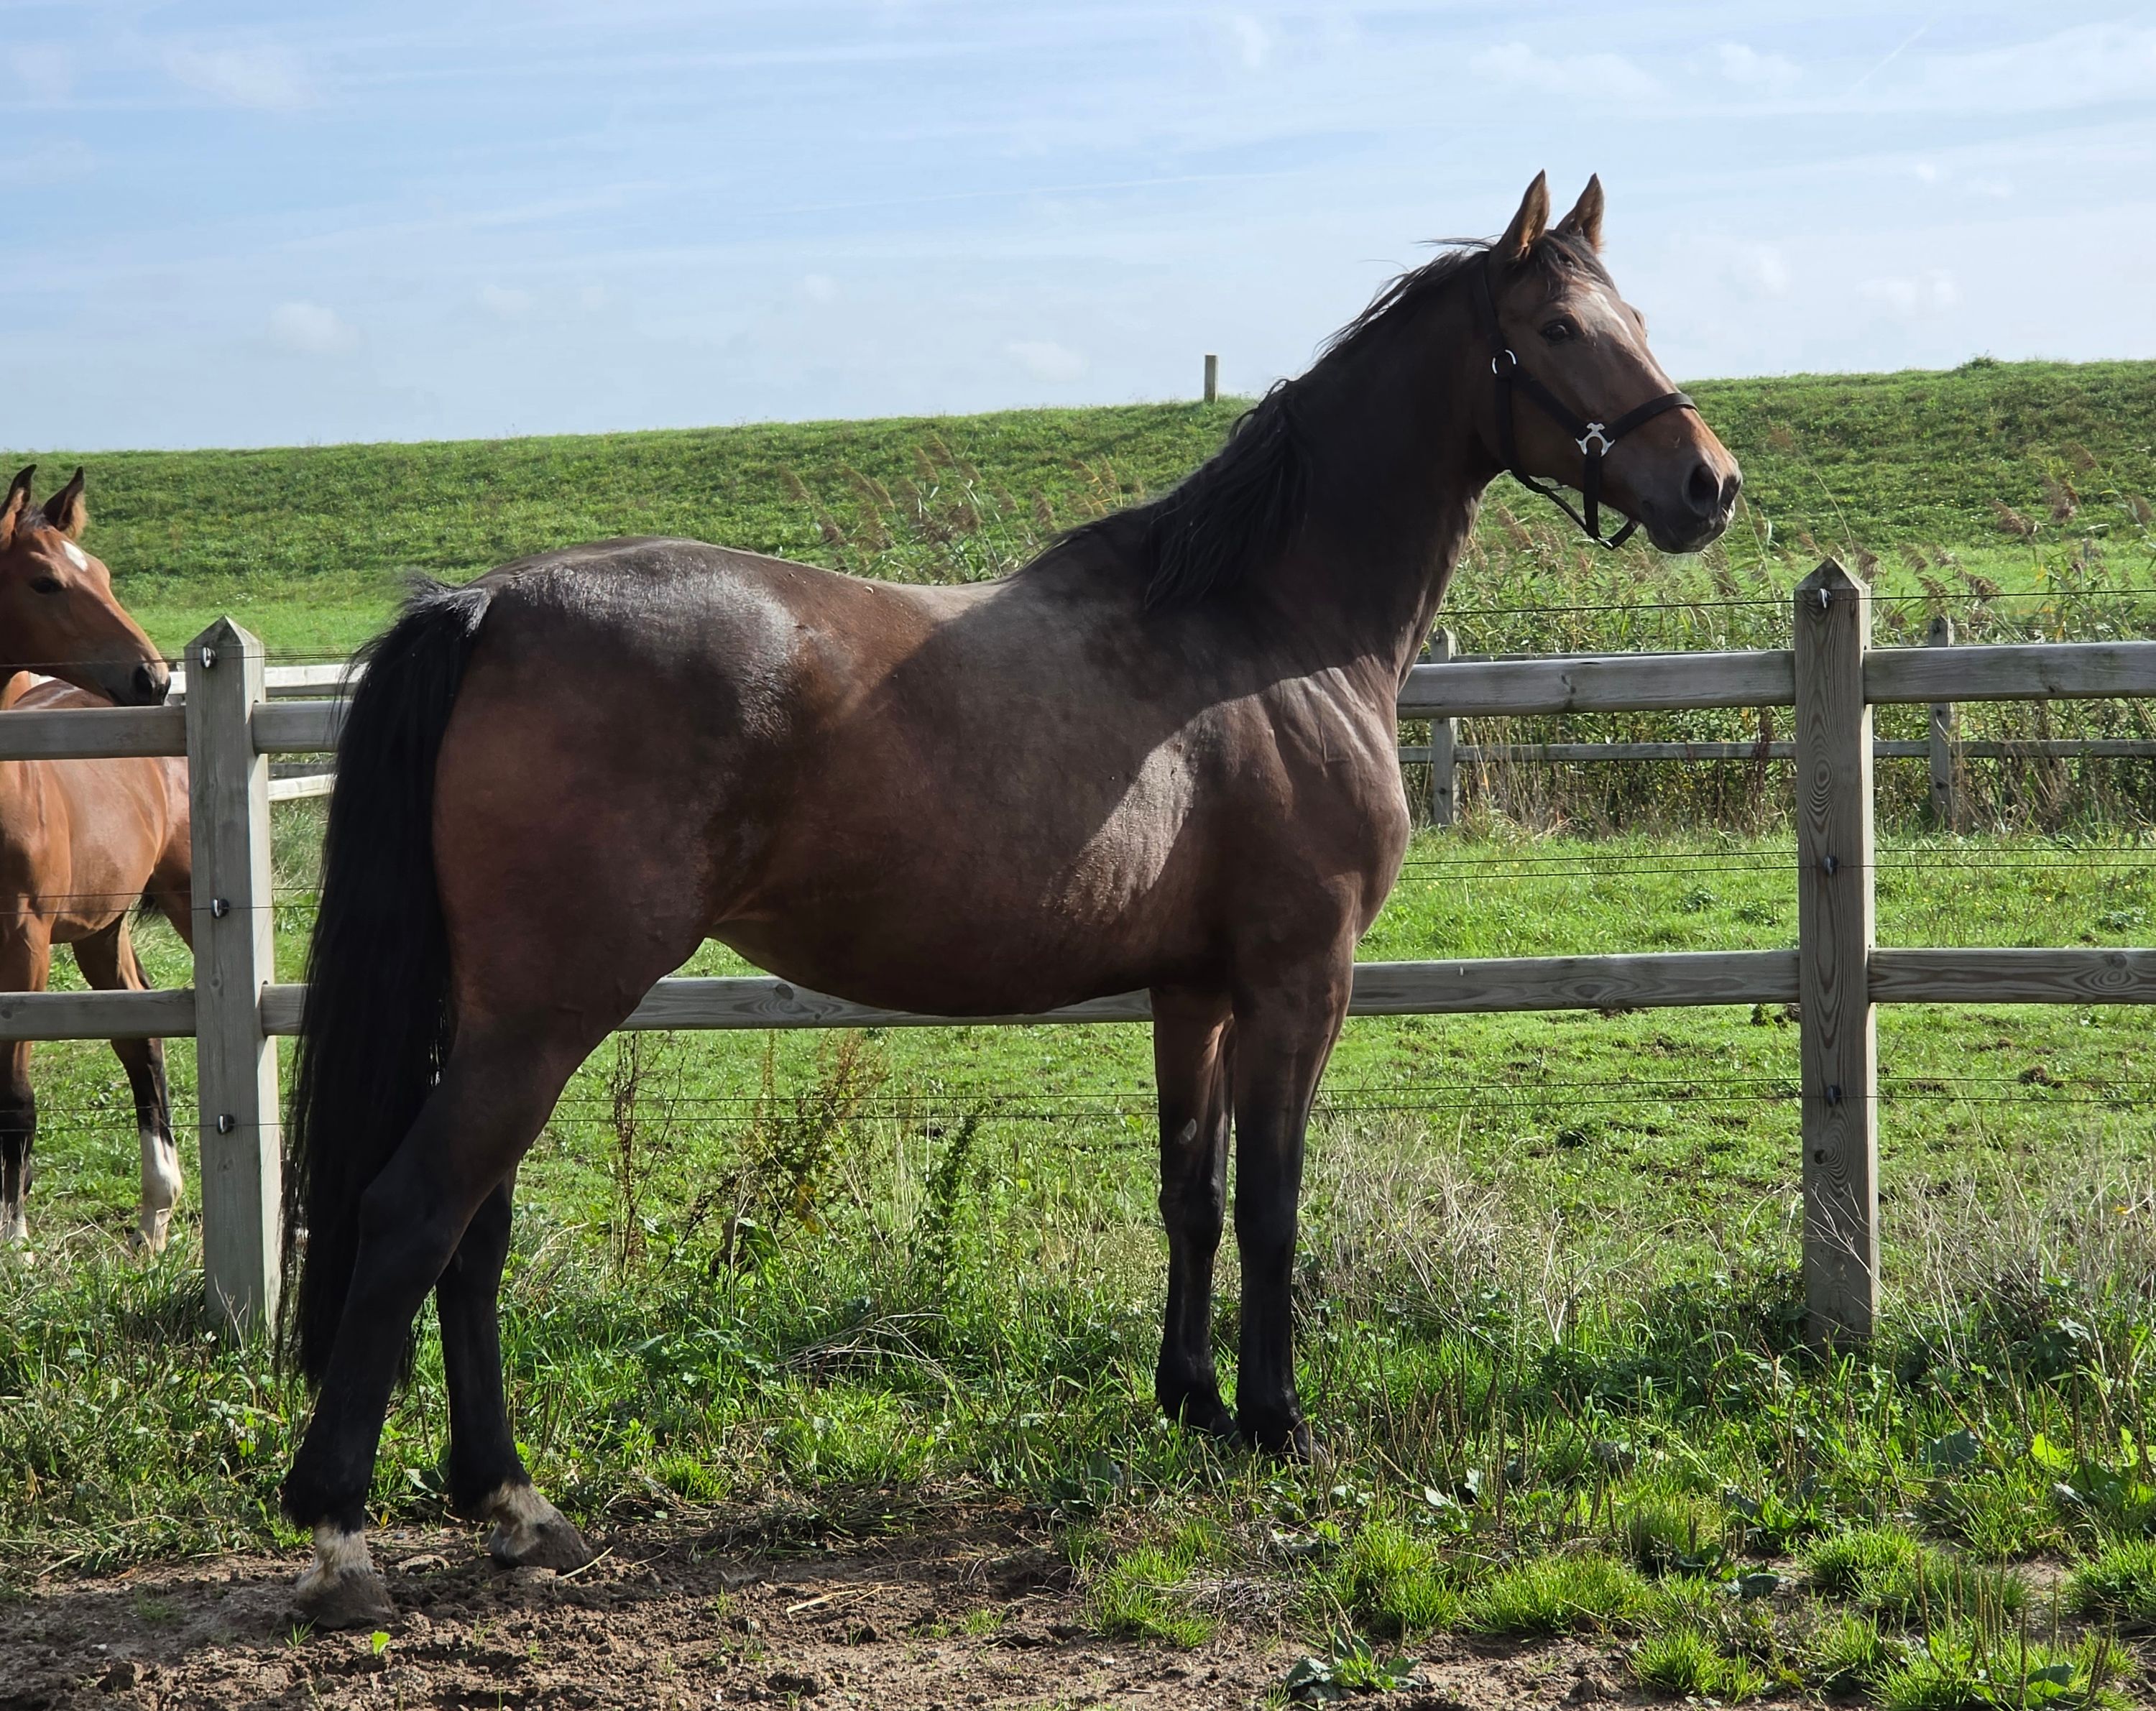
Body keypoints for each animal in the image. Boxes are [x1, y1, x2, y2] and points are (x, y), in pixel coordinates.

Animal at [279, 173, 1742, 1627]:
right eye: (1557, 328)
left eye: (1634, 316)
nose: (1710, 483)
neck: (1267, 635)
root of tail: (487, 607)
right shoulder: (1297, 978)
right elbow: (1273, 1202)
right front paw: (1277, 1420)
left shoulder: (1191, 989)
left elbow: (1192, 1192)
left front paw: (1190, 1401)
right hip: (546, 1013)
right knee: (414, 1216)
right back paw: (342, 1533)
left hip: (500, 1014)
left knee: (472, 1236)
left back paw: (515, 1506)